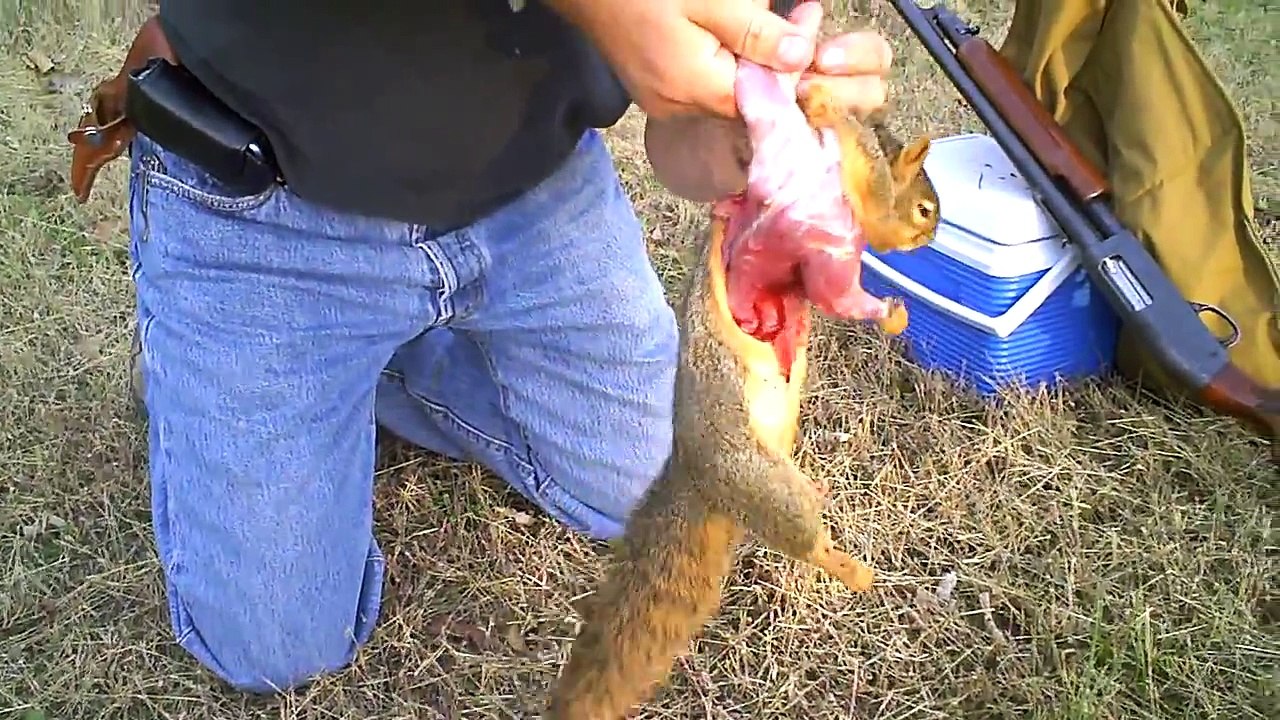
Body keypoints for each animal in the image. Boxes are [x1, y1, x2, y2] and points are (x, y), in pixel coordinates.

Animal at [542, 82, 938, 720]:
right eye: (925, 209)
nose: (927, 241)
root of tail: (697, 476)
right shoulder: (859, 187)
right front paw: (821, 99)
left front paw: (895, 316)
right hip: (761, 482)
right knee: (806, 539)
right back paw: (852, 569)